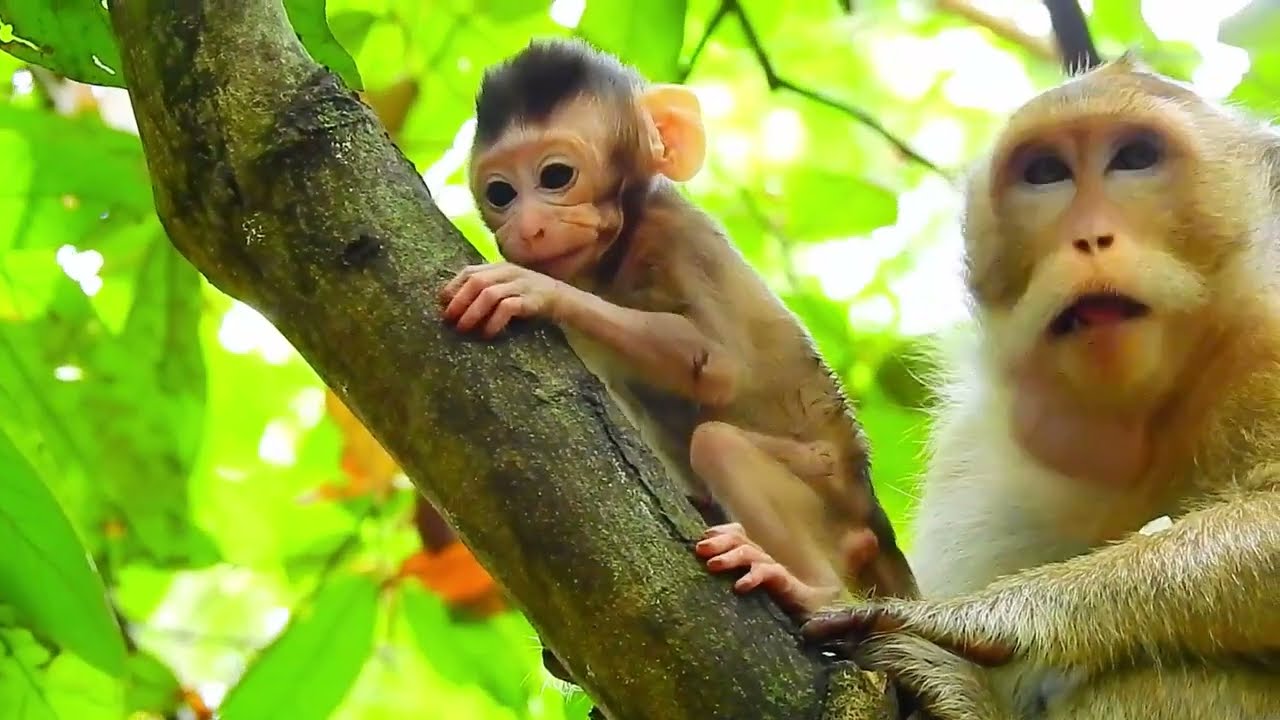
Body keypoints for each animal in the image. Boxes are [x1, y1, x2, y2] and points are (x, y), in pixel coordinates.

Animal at [438, 38, 918, 615]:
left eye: (555, 176)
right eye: (501, 193)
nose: (527, 227)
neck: (612, 258)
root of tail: (871, 509)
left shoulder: (678, 241)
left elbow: (718, 368)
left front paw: (535, 290)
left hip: (827, 484)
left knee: (719, 444)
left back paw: (807, 587)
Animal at [784, 54, 1280, 719]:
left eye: (1134, 158)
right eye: (1046, 172)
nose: (1091, 237)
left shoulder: (1267, 344)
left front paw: (974, 618)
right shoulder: (973, 441)